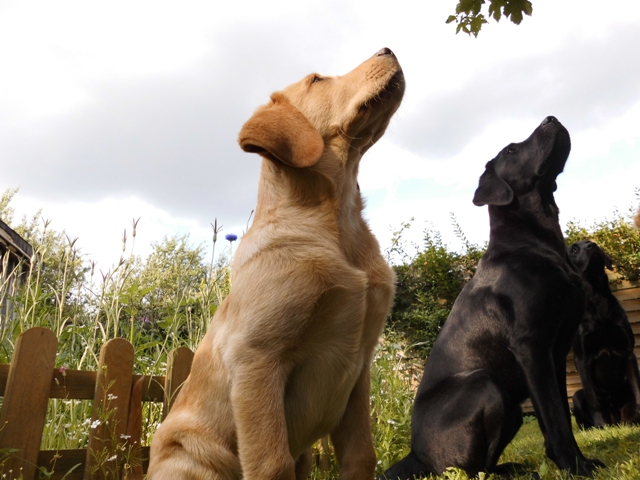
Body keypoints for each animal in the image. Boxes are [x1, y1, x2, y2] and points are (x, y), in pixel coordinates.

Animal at [380, 117, 604, 480]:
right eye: (511, 150)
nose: (551, 118)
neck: (537, 242)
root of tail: (414, 454)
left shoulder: (555, 352)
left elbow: (557, 413)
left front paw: (573, 462)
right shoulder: (531, 346)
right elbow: (555, 416)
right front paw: (575, 467)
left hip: (511, 408)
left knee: (484, 465)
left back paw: (515, 468)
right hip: (482, 382)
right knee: (465, 470)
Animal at [568, 240, 640, 428]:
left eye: (590, 243)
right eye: (574, 249)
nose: (591, 246)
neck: (597, 296)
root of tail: (616, 421)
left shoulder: (628, 351)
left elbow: (637, 390)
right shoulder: (582, 359)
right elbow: (594, 401)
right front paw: (600, 425)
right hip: (577, 396)